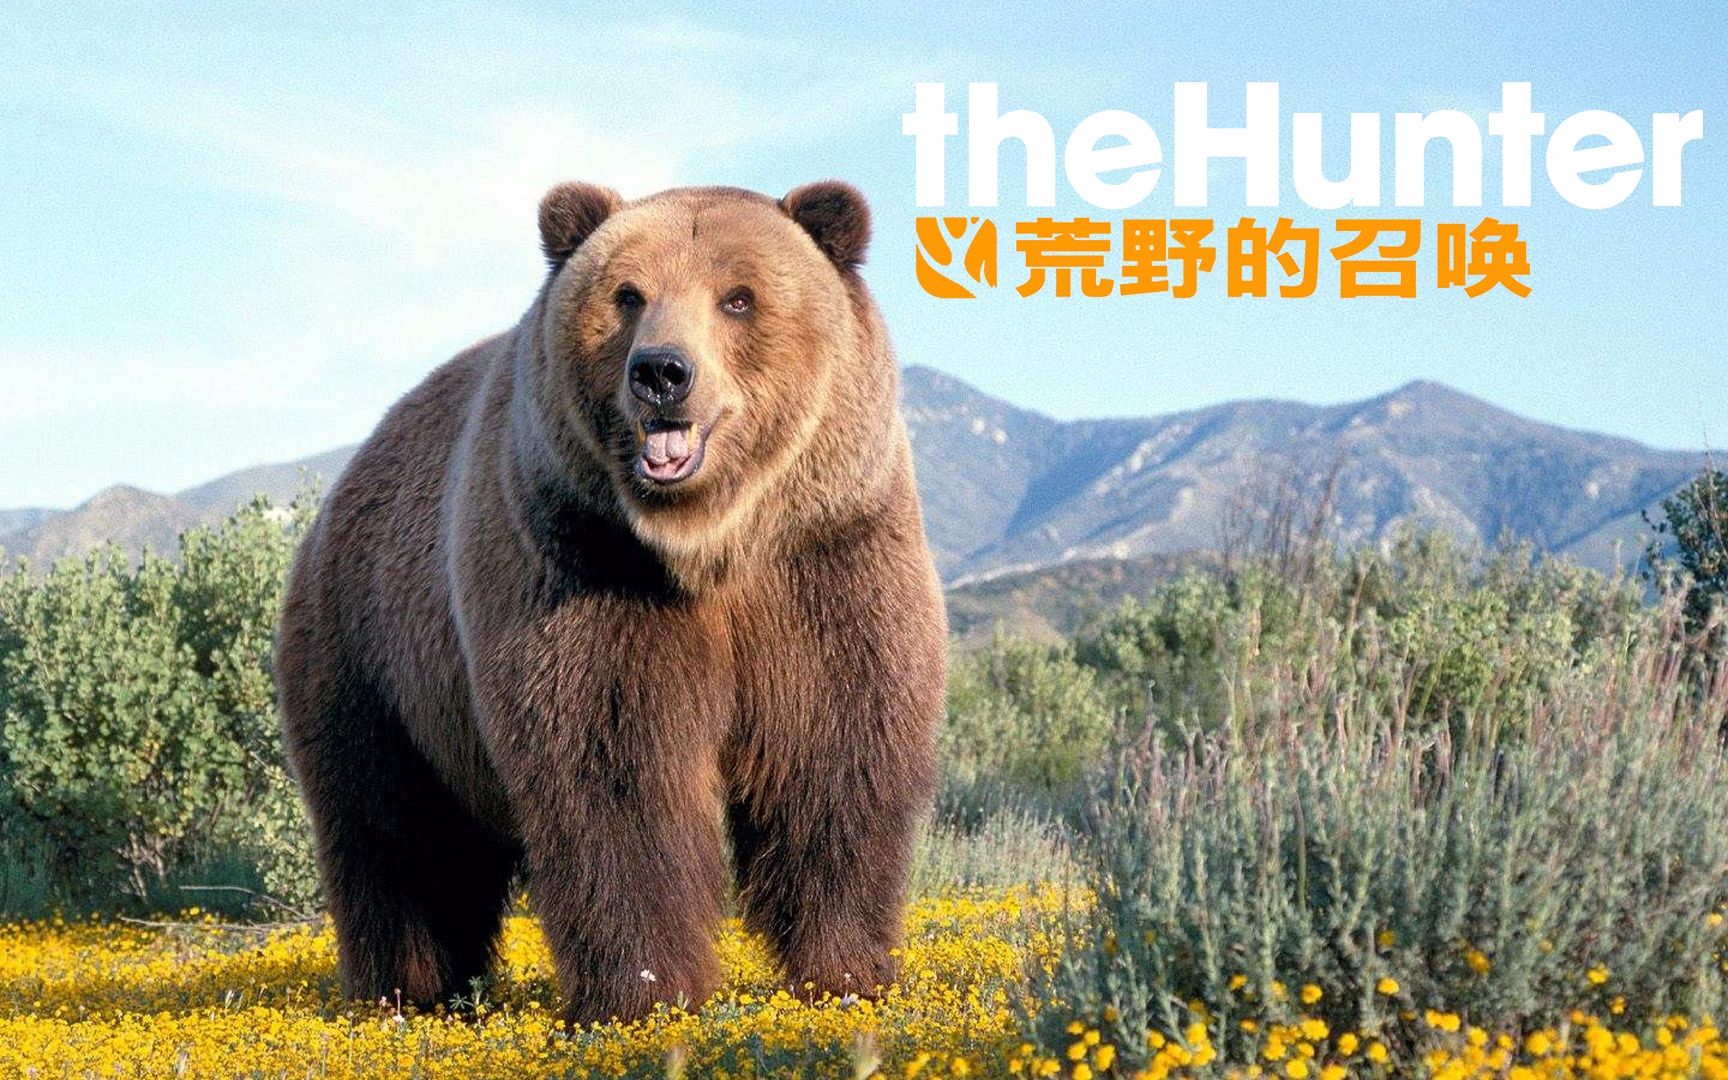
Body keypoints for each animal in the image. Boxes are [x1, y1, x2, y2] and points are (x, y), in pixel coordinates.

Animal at [273, 180, 947, 1024]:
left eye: (738, 297)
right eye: (628, 294)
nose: (662, 371)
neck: (708, 543)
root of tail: (341, 488)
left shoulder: (825, 560)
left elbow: (835, 754)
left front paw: (846, 974)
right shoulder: (584, 565)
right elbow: (615, 772)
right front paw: (647, 992)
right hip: (374, 656)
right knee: (396, 833)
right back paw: (406, 990)